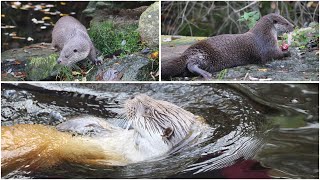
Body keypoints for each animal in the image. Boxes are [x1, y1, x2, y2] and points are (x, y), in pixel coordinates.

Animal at [162, 13, 296, 79]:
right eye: (286, 23)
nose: (293, 26)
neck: (264, 34)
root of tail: (187, 53)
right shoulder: (267, 47)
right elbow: (274, 55)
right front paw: (288, 52)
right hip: (202, 55)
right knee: (190, 65)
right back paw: (206, 74)